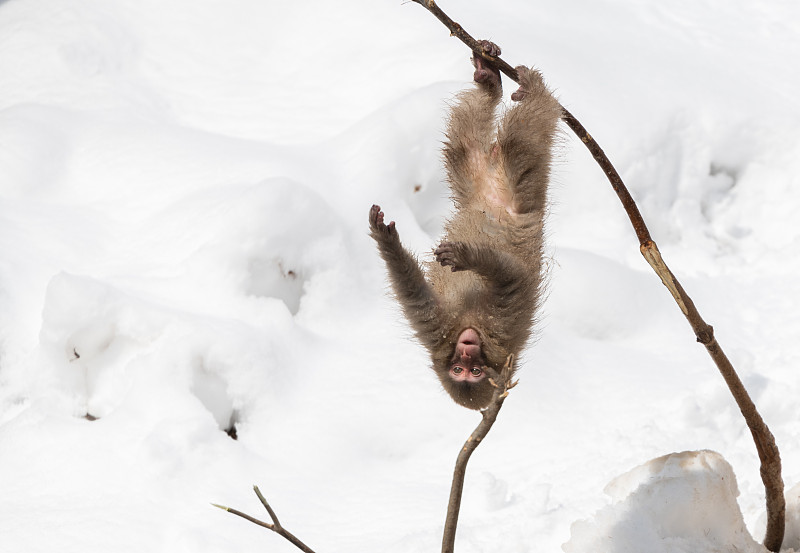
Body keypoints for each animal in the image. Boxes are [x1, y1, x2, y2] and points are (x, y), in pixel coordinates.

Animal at [370, 41, 564, 408]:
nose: (467, 349)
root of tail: (492, 186)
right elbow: (417, 296)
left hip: (523, 192)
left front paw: (467, 258)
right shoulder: (439, 331)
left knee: (521, 140)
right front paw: (387, 242)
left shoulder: (501, 325)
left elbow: (509, 276)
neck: (470, 323)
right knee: (465, 142)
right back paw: (489, 85)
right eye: (458, 370)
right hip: (470, 176)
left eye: (474, 373)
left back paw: (531, 90)